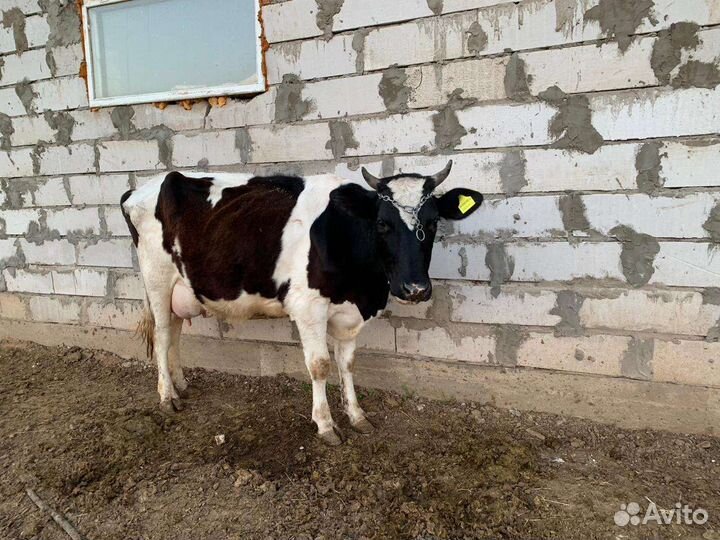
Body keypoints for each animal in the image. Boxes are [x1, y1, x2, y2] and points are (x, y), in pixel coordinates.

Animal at [120, 162, 483, 445]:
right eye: (382, 223)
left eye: (434, 222)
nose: (415, 288)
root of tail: (143, 187)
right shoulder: (308, 307)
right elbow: (320, 365)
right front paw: (325, 425)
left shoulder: (351, 313)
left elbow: (348, 363)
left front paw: (356, 415)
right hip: (156, 279)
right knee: (163, 335)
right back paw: (167, 397)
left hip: (181, 288)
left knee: (175, 333)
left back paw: (180, 385)